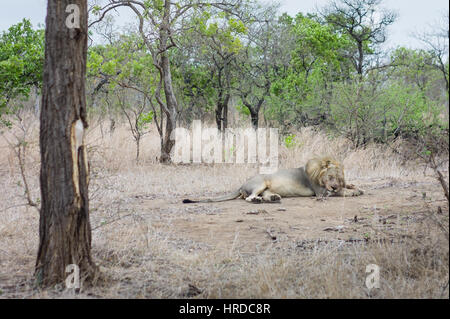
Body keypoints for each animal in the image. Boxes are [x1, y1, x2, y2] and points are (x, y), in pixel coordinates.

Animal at [181, 156, 364, 204]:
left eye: (337, 178)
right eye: (330, 177)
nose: (333, 186)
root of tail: (241, 184)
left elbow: (347, 186)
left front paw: (355, 186)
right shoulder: (321, 192)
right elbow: (341, 192)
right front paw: (354, 192)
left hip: (266, 188)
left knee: (265, 195)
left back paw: (274, 198)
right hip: (261, 183)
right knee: (248, 198)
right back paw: (256, 200)